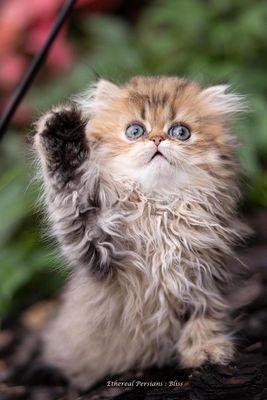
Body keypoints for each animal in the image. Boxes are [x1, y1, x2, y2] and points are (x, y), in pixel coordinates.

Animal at [33, 76, 249, 390]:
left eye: (180, 132)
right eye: (135, 131)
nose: (157, 139)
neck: (159, 210)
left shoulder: (204, 276)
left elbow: (204, 316)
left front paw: (206, 351)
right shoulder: (93, 242)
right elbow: (71, 186)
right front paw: (61, 134)